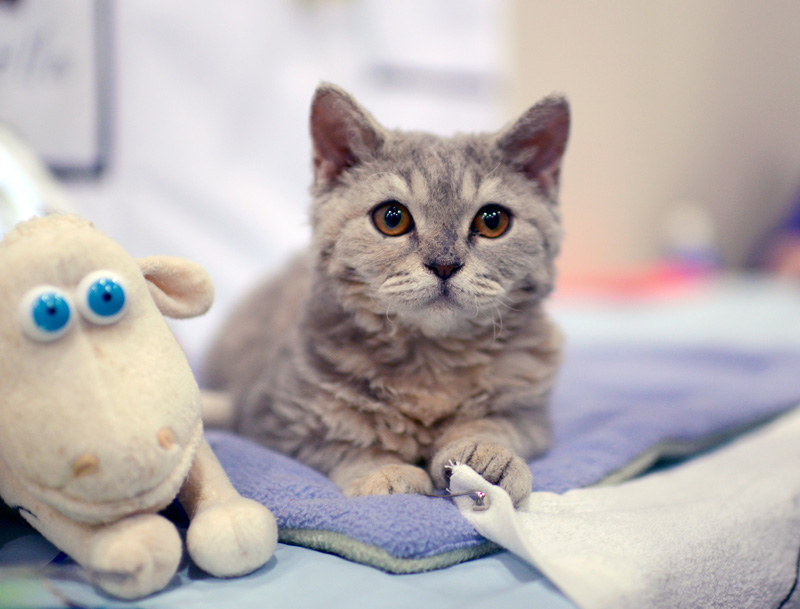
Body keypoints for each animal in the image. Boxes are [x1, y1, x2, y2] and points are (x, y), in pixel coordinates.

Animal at [205, 83, 568, 506]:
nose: (444, 264)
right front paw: (385, 472)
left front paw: (488, 453)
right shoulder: (275, 420)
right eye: (391, 218)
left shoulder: (531, 412)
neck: (432, 365)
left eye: (492, 221)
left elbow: (500, 423)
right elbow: (347, 443)